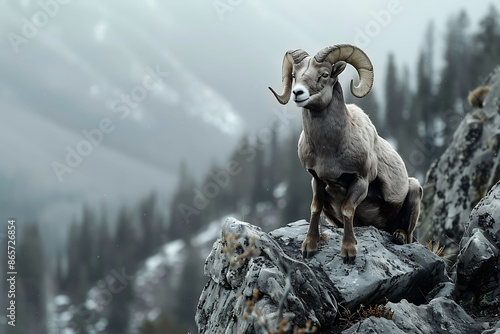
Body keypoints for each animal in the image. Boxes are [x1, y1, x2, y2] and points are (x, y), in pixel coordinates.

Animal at [270, 43, 422, 264]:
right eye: (294, 75)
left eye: (324, 74)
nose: (298, 93)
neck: (329, 150)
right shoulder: (317, 180)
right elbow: (315, 208)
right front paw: (309, 247)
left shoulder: (360, 181)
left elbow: (348, 209)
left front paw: (349, 251)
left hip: (414, 191)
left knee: (408, 236)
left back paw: (399, 236)